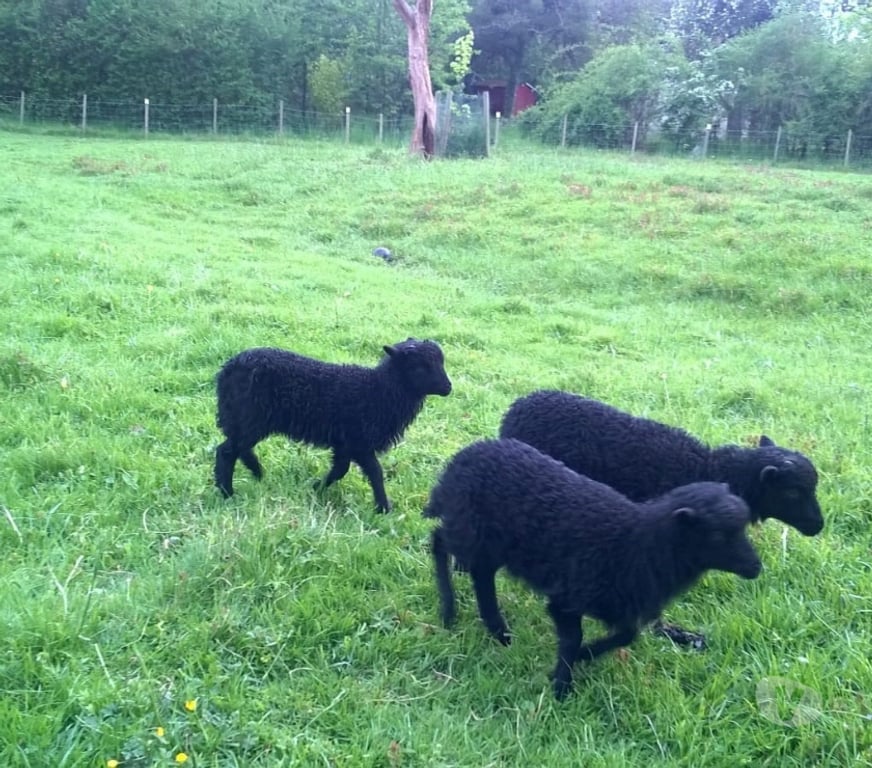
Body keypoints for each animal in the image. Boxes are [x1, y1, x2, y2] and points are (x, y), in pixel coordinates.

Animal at [214, 338, 451, 511]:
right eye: (419, 368)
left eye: (441, 363)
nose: (449, 387)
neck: (379, 390)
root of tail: (227, 369)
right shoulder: (359, 441)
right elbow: (375, 472)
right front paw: (383, 508)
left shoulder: (345, 444)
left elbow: (340, 470)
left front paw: (316, 488)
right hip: (251, 417)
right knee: (227, 451)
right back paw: (227, 493)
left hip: (248, 420)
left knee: (240, 448)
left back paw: (257, 473)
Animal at [425, 438, 762, 700]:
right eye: (717, 535)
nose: (756, 567)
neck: (635, 546)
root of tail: (462, 457)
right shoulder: (566, 600)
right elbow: (574, 638)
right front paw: (562, 685)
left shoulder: (622, 607)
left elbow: (626, 635)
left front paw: (583, 658)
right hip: (469, 530)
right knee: (439, 541)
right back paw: (449, 611)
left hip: (490, 544)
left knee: (481, 576)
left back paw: (499, 631)